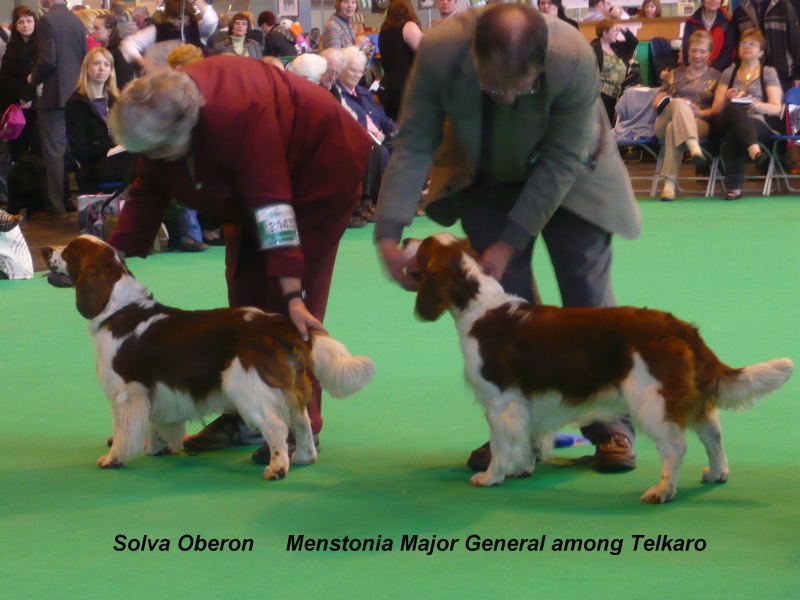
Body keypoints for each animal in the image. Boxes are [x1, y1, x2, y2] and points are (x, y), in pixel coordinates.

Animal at [45, 234, 376, 478]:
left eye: (70, 250)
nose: (45, 248)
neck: (117, 307)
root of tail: (277, 323)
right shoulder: (153, 392)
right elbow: (156, 423)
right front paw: (158, 448)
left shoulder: (126, 392)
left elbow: (125, 431)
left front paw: (113, 458)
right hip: (288, 381)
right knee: (302, 419)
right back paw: (304, 457)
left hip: (246, 386)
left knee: (277, 426)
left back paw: (277, 467)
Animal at [404, 232, 792, 504]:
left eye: (423, 246)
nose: (406, 239)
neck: (478, 306)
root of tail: (682, 328)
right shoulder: (529, 400)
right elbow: (529, 438)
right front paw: (524, 468)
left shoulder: (502, 401)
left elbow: (502, 444)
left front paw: (491, 476)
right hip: (681, 393)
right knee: (712, 429)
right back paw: (717, 473)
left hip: (650, 397)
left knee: (675, 446)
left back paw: (662, 491)